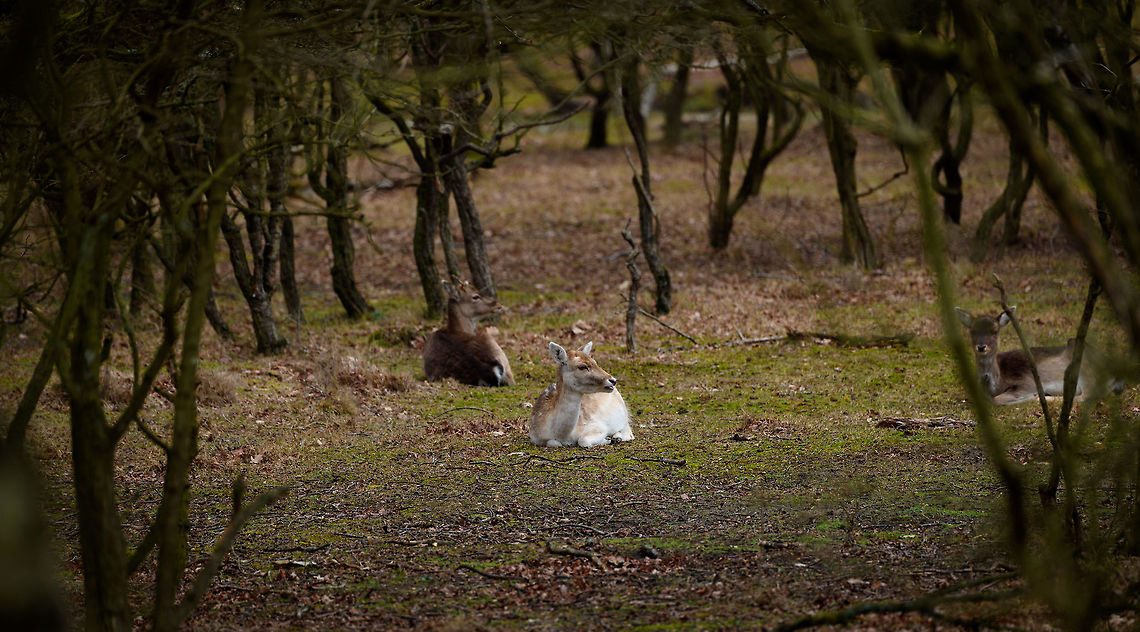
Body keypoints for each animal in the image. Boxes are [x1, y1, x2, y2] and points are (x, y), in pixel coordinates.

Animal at [955, 306, 1092, 406]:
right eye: (972, 331)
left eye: (995, 331)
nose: (981, 347)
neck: (996, 384)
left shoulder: (1027, 382)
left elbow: (997, 399)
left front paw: (1030, 397)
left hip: (1085, 371)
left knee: (1087, 395)